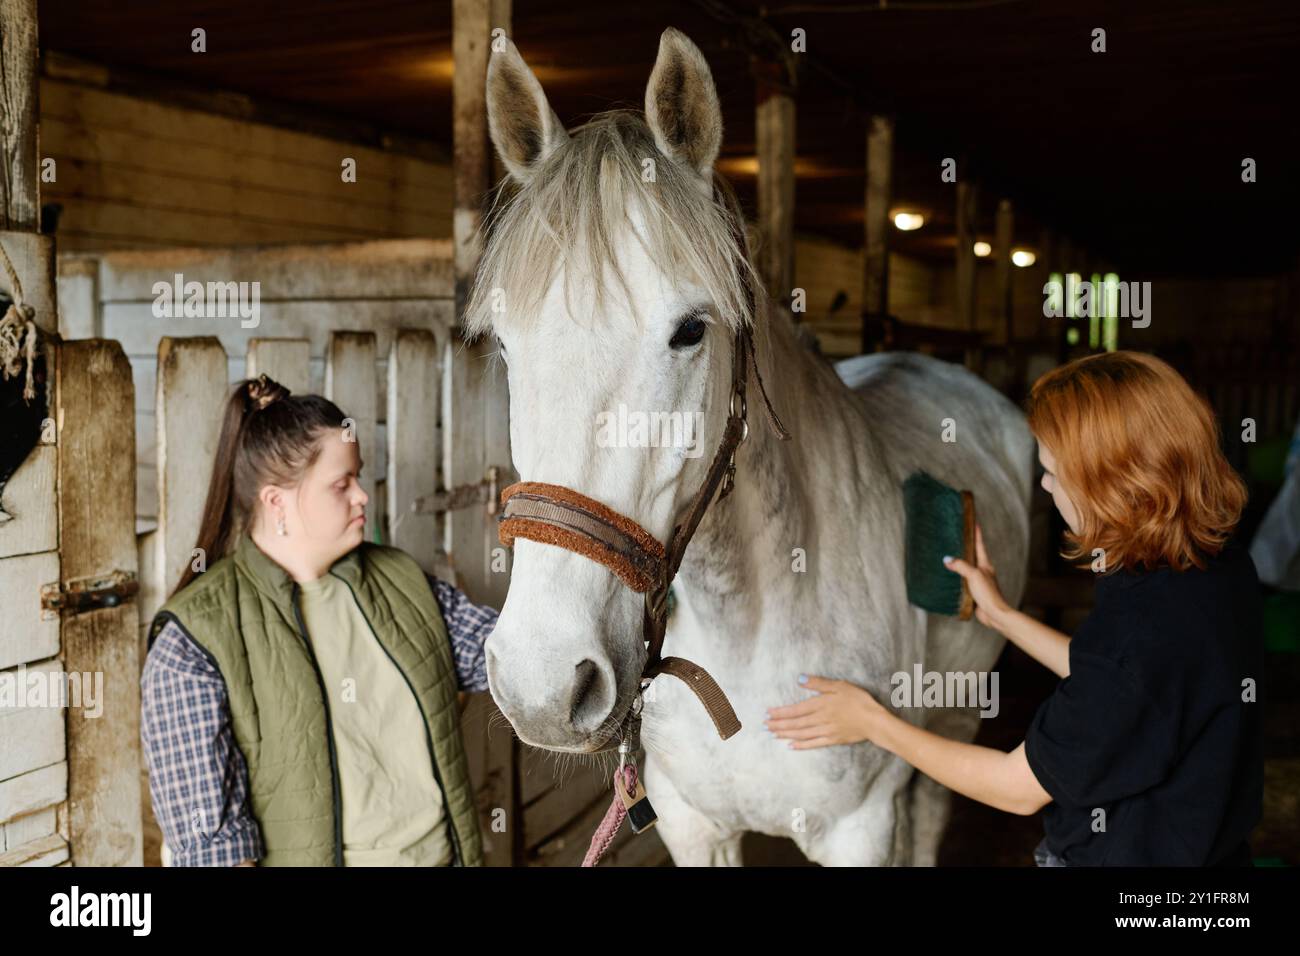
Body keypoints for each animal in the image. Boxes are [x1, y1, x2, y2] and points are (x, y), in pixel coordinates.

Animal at [467, 27, 1034, 868]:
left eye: (688, 331)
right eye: (506, 343)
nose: (543, 685)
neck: (746, 632)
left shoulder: (860, 829)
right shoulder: (692, 824)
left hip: (958, 716)